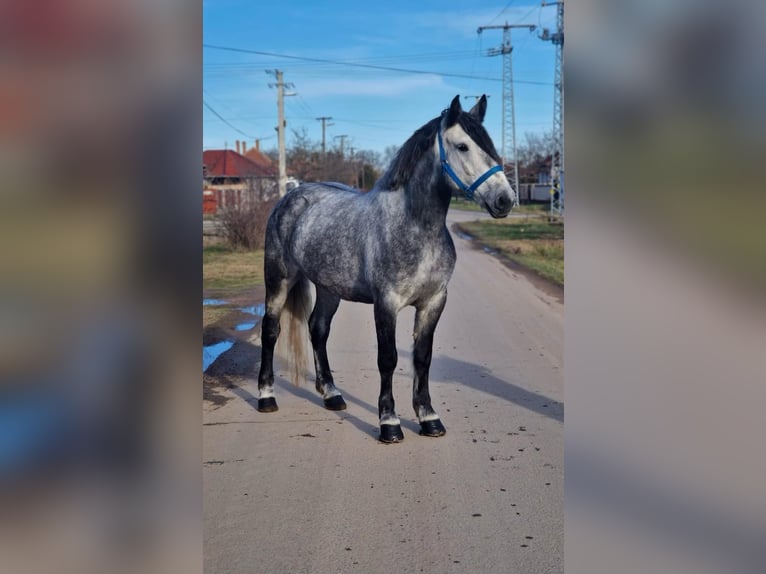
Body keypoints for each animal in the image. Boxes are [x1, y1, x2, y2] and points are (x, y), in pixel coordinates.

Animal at [256, 95, 516, 446]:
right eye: (463, 146)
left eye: (489, 145)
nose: (505, 200)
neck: (415, 227)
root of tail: (292, 196)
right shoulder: (386, 304)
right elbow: (388, 359)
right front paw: (389, 423)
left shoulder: (434, 302)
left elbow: (422, 357)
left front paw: (429, 418)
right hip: (279, 279)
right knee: (270, 330)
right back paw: (266, 397)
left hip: (329, 288)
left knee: (318, 329)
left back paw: (332, 395)